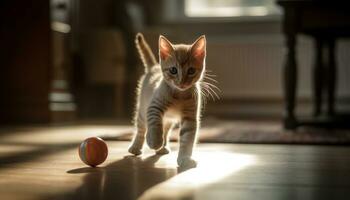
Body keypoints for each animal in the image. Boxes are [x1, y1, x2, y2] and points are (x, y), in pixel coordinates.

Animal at [129, 32, 208, 167]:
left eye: (191, 71)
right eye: (173, 70)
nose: (182, 82)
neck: (180, 95)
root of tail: (154, 67)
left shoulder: (190, 118)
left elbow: (187, 138)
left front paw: (185, 158)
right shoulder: (154, 106)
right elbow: (154, 124)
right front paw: (154, 141)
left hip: (168, 120)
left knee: (165, 130)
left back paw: (162, 148)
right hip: (142, 112)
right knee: (141, 129)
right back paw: (136, 147)